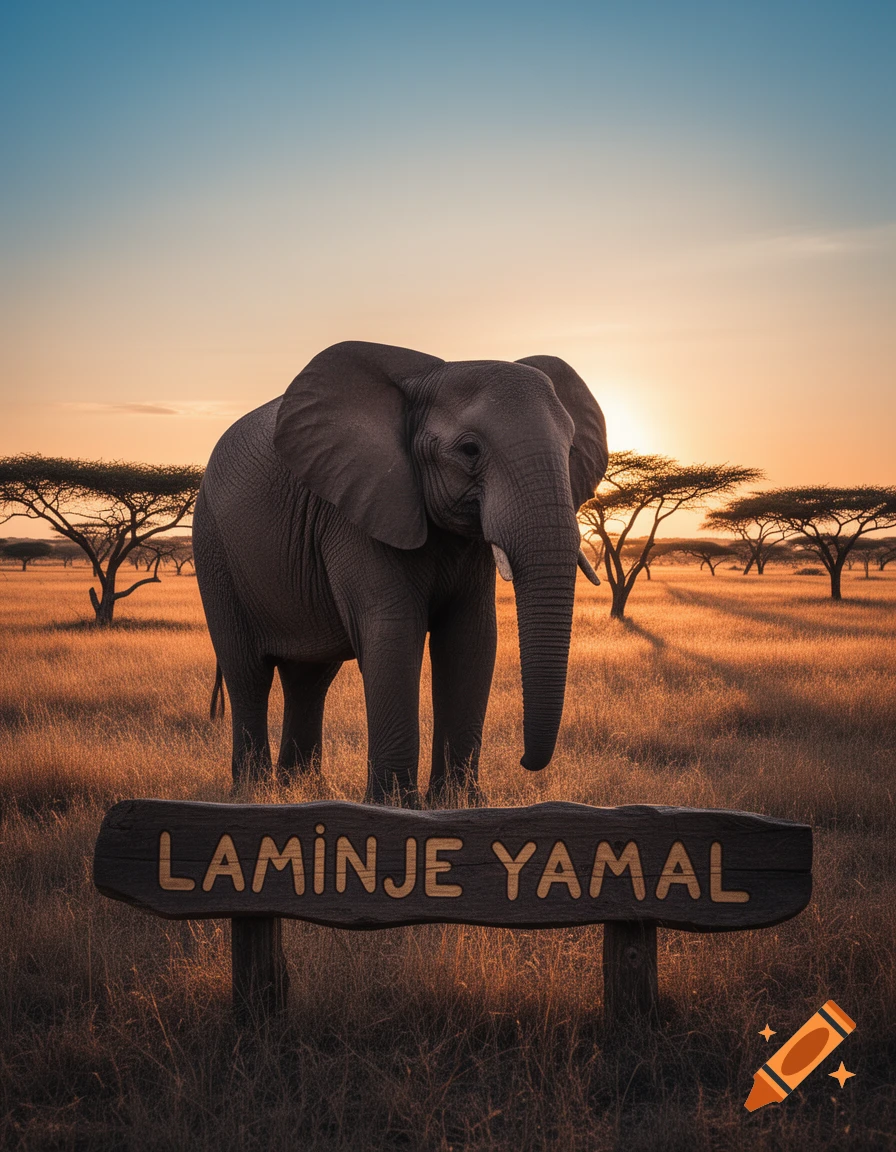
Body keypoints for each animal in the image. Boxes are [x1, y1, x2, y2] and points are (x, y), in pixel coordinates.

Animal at [193, 341, 607, 806]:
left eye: (570, 451)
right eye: (469, 450)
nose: (524, 762)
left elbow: (470, 637)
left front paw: (457, 804)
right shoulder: (356, 511)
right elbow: (393, 631)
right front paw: (395, 806)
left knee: (309, 677)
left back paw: (303, 790)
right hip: (213, 549)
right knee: (248, 672)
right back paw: (254, 792)